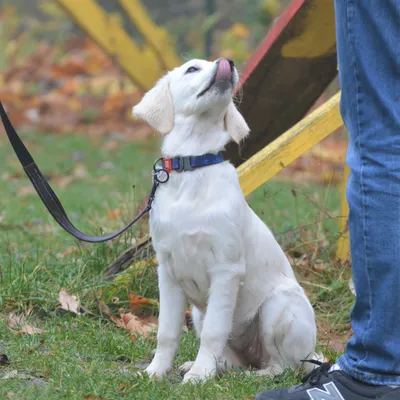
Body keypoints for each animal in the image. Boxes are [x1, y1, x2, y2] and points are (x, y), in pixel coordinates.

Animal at [133, 57, 318, 382]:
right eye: (192, 69)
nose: (227, 62)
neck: (193, 167)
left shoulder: (226, 269)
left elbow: (214, 332)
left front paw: (199, 377)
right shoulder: (167, 270)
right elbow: (167, 332)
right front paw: (156, 371)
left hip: (278, 306)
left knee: (283, 366)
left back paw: (251, 375)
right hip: (198, 312)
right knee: (235, 359)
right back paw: (209, 367)